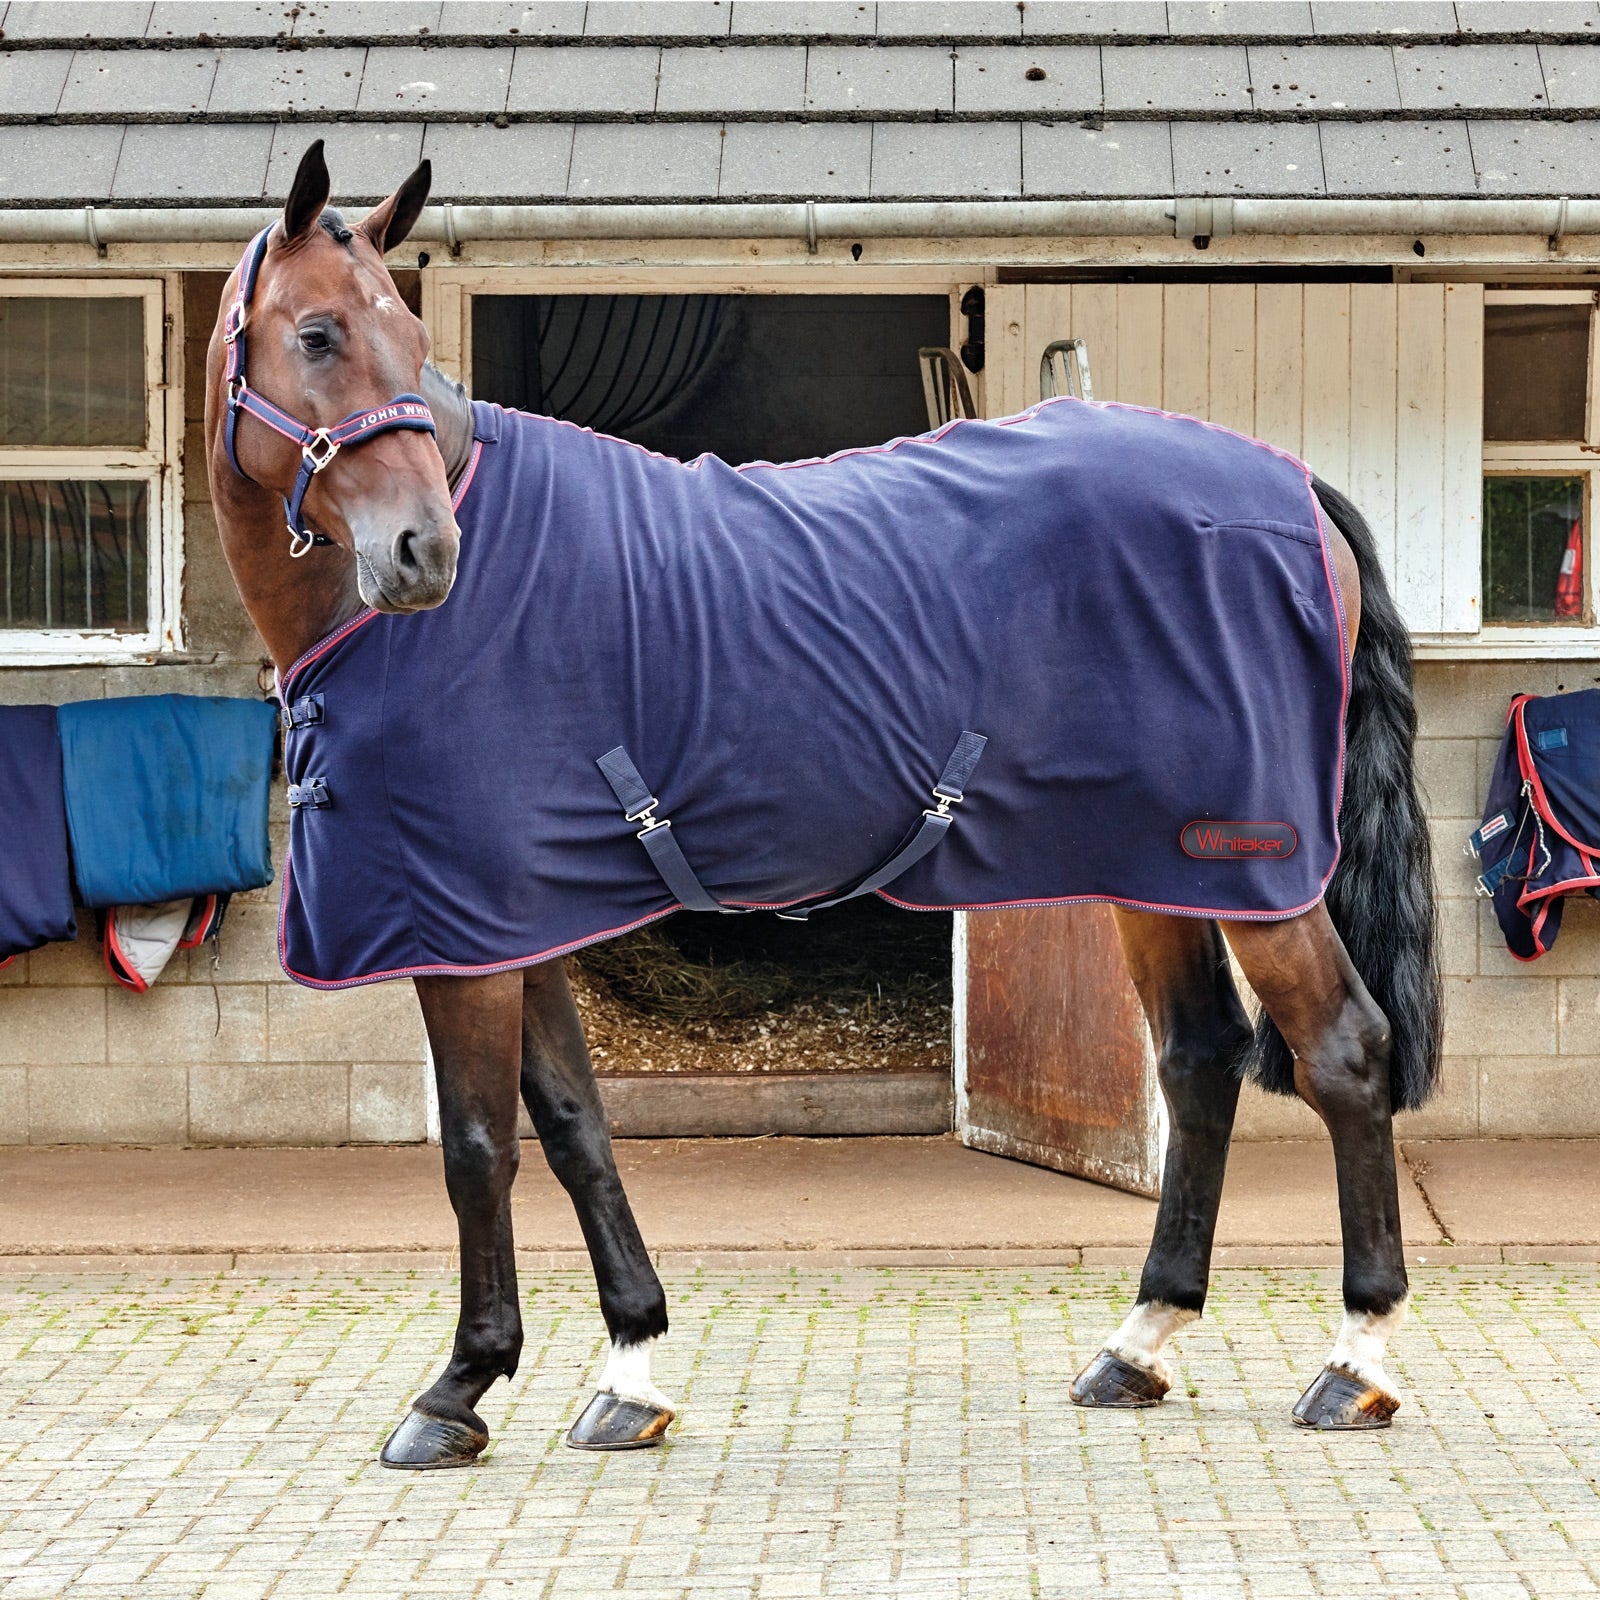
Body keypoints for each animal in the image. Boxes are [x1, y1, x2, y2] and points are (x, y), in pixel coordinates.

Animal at [205, 143, 1440, 1469]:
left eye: (408, 332)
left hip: (1257, 870)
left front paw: (457, 1390)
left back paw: (1354, 1362)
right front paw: (630, 1368)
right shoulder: (510, 921)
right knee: (1200, 1062)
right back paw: (1139, 1342)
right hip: (1157, 869)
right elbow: (574, 1124)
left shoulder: (460, 927)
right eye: (319, 333)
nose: (423, 553)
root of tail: (1289, 486)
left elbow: (478, 1145)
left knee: (1343, 1050)